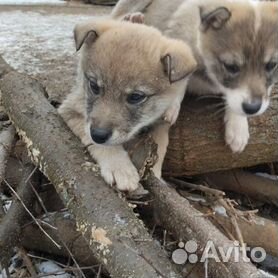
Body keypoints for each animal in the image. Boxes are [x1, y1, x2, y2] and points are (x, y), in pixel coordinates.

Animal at [57, 19, 197, 192]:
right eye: (94, 86)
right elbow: (100, 143)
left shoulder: (161, 124)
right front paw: (120, 168)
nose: (98, 134)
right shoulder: (71, 110)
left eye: (136, 97)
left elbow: (161, 147)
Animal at [112, 0, 278, 152]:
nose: (253, 109)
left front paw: (238, 128)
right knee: (114, 16)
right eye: (231, 66)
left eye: (271, 65)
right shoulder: (179, 42)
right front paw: (171, 105)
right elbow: (179, 76)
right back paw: (132, 20)